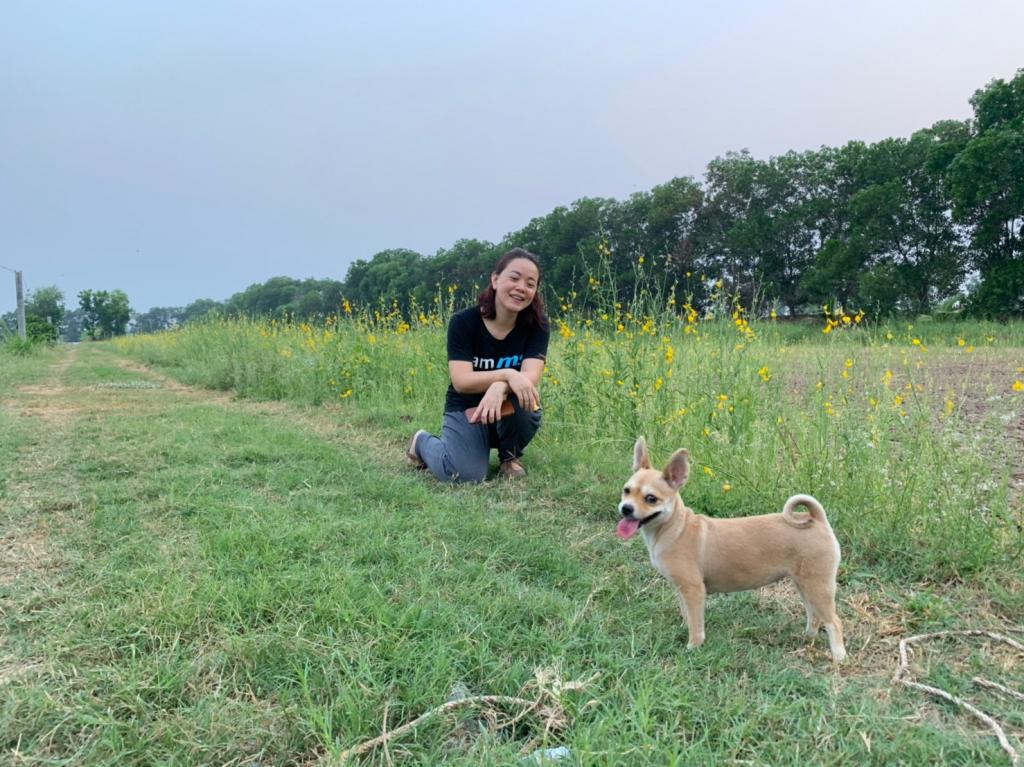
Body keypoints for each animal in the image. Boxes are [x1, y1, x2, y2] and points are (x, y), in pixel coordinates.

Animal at [616, 437, 847, 662]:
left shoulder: (694, 590)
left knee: (834, 622)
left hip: (818, 586)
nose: (626, 508)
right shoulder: (682, 590)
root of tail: (817, 519)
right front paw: (686, 630)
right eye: (626, 490)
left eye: (651, 499)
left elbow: (696, 625)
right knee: (814, 614)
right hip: (804, 584)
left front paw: (693, 646)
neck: (675, 528)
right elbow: (688, 615)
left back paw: (839, 656)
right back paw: (808, 636)